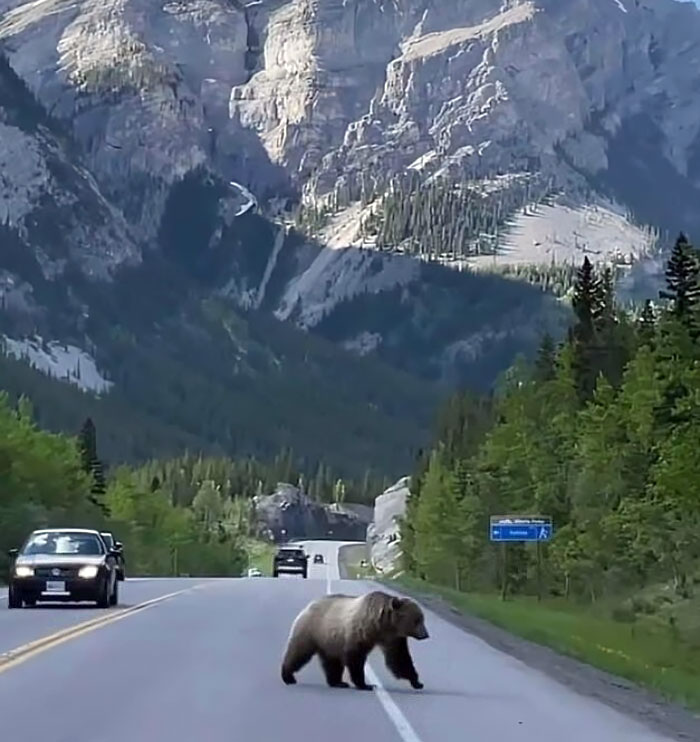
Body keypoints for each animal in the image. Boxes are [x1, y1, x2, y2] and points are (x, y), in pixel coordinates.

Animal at [280, 590, 429, 691]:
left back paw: (338, 682)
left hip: (329, 640)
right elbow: (355, 657)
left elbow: (399, 658)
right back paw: (288, 676)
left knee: (332, 661)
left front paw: (417, 682)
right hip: (310, 630)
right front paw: (365, 684)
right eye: (417, 620)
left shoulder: (392, 638)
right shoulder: (359, 632)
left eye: (422, 618)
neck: (380, 625)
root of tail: (308, 606)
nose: (426, 635)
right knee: (299, 652)